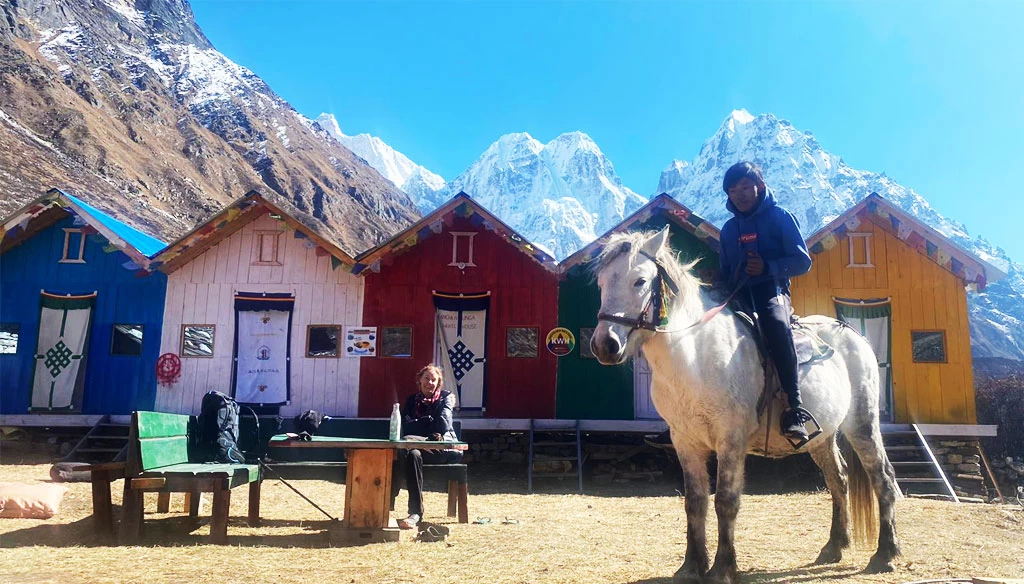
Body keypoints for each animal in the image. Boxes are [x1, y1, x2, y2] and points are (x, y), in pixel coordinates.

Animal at [589, 227, 901, 581]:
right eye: (601, 282)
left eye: (640, 281)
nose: (605, 344)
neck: (695, 356)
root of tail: (854, 335)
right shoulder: (685, 441)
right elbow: (695, 501)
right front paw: (691, 566)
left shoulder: (731, 440)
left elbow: (726, 500)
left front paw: (723, 568)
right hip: (822, 438)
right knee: (839, 480)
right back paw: (834, 547)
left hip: (862, 424)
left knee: (883, 478)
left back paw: (885, 554)